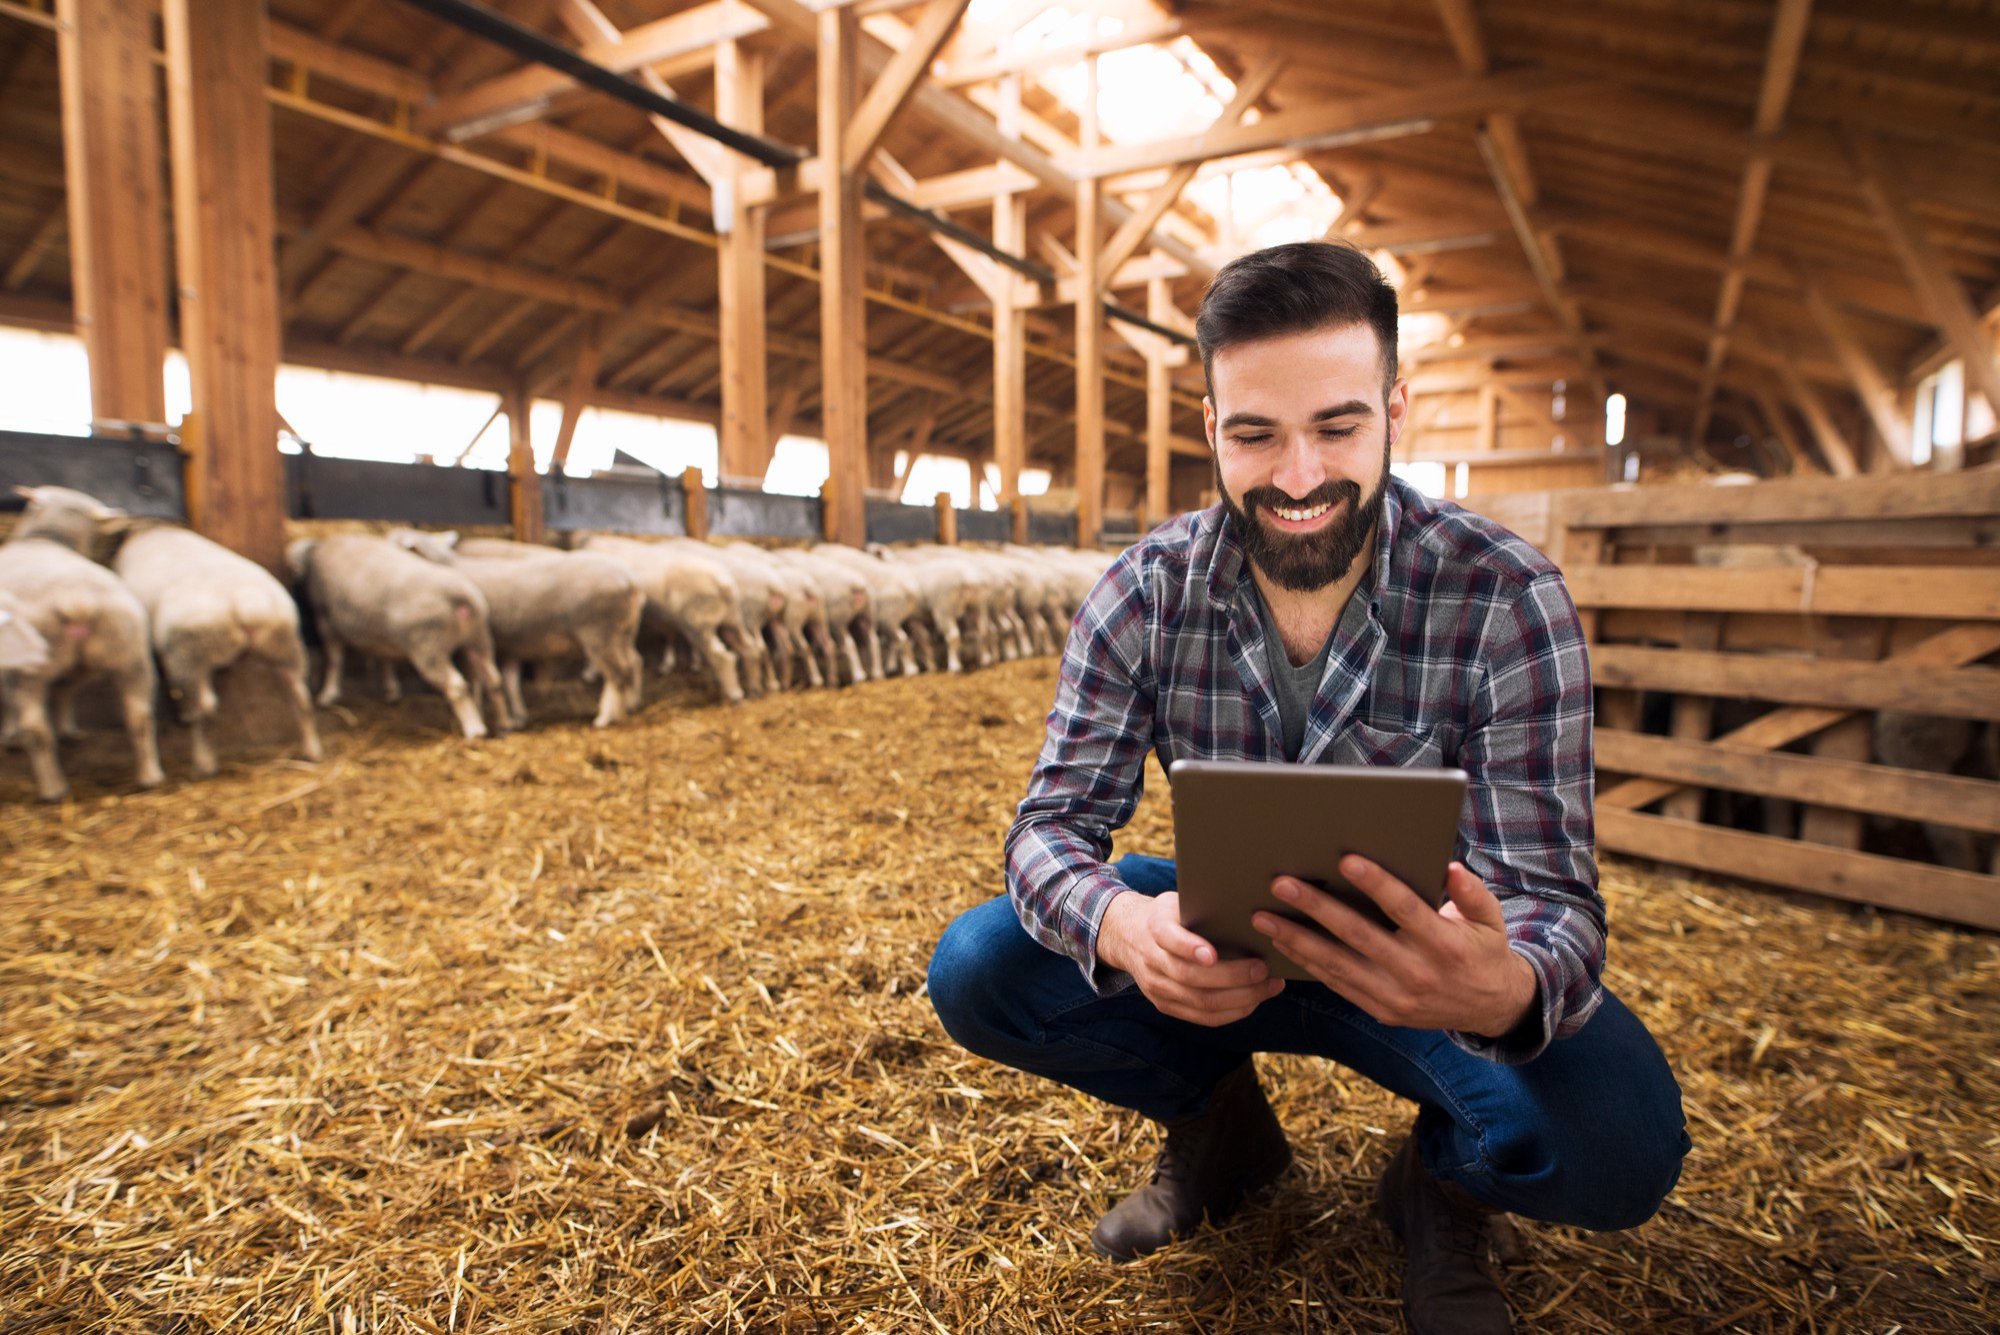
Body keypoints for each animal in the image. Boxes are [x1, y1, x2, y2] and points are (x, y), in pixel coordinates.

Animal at [0, 489, 163, 803]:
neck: (47, 538)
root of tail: (77, 600)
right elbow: (64, 690)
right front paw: (68, 730)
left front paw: (9, 735)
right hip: (129, 654)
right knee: (140, 716)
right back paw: (150, 775)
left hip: (30, 670)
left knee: (36, 729)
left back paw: (52, 788)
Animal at [290, 535, 508, 739]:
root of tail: (462, 597)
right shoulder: (379, 634)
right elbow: (384, 658)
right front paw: (391, 689)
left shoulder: (325, 618)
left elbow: (334, 659)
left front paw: (328, 693)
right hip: (478, 640)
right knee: (494, 681)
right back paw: (503, 724)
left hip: (428, 647)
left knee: (456, 686)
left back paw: (475, 729)